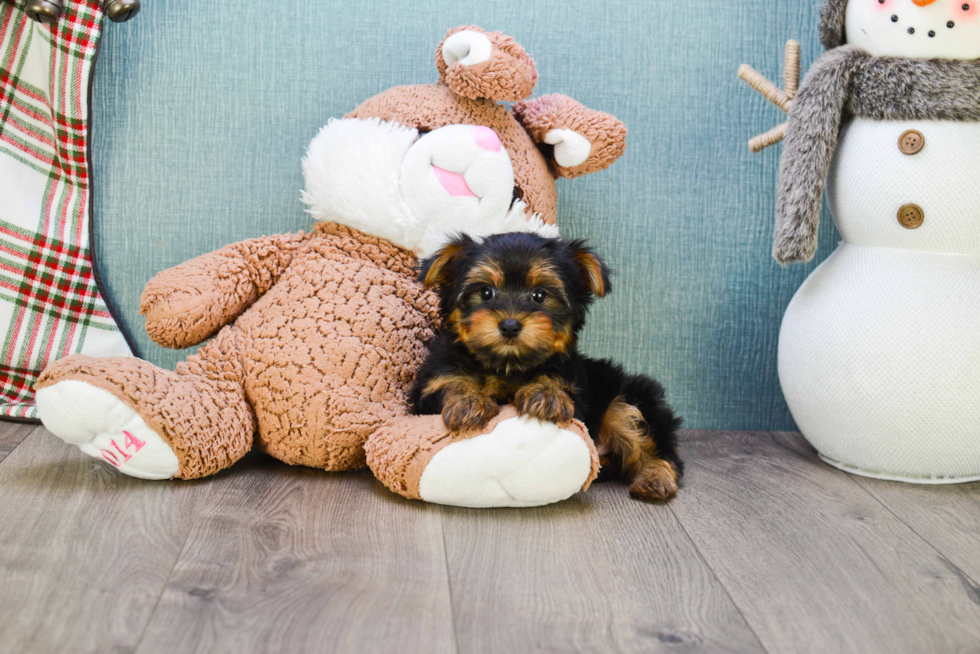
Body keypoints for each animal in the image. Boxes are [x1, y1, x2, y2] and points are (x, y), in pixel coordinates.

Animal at [410, 233, 684, 500]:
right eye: (486, 293)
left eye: (539, 295)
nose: (510, 325)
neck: (506, 365)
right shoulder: (430, 385)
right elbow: (450, 383)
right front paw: (468, 400)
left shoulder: (573, 386)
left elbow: (554, 380)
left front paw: (546, 395)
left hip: (631, 396)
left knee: (653, 444)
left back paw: (654, 478)